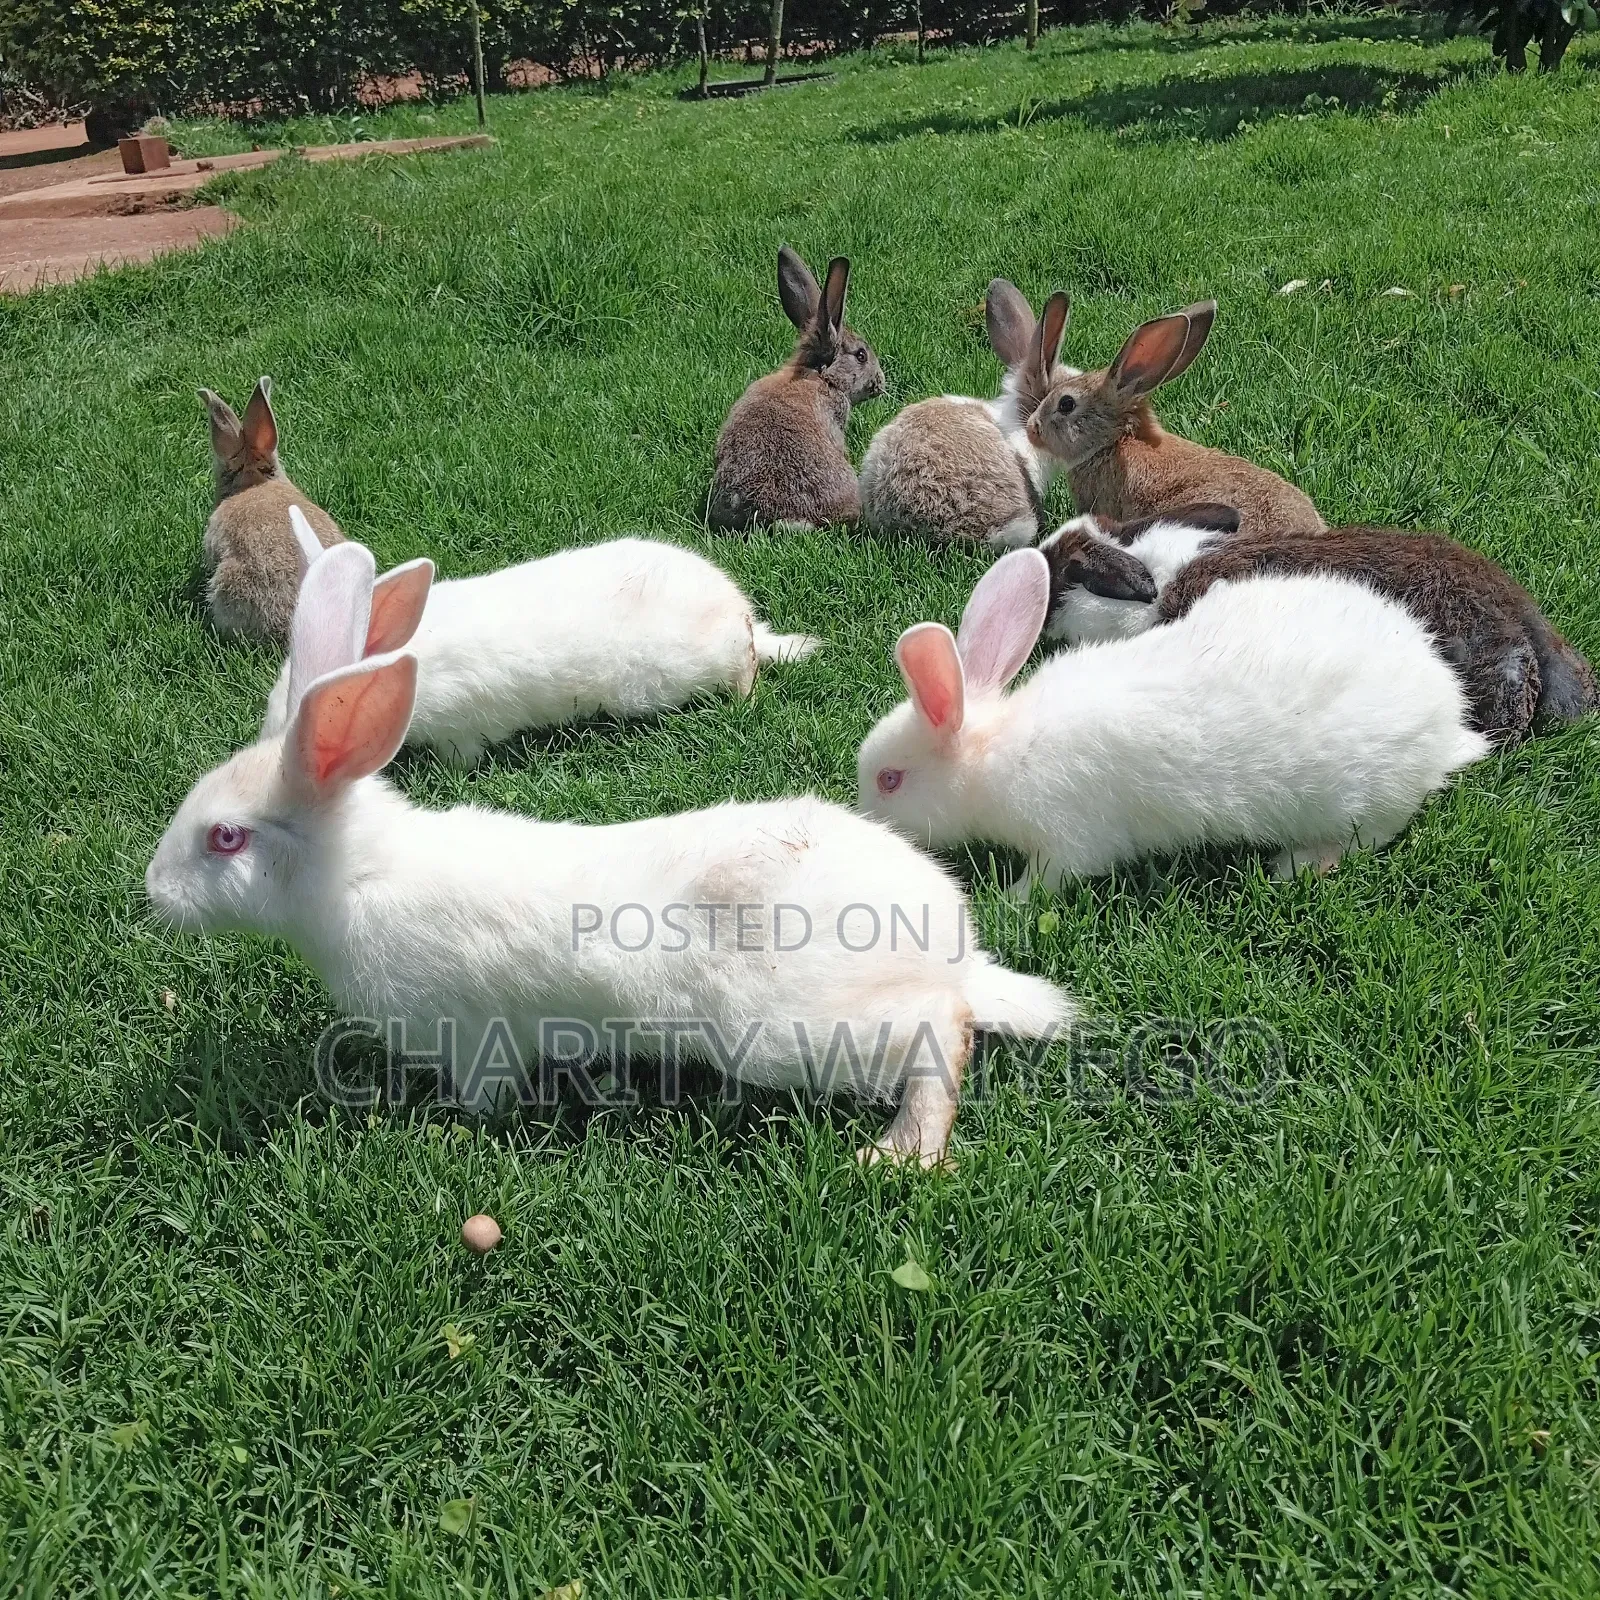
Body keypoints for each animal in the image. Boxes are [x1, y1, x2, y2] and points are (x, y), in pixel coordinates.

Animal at [147, 540, 1072, 1169]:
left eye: (225, 837)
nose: (154, 891)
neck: (356, 879)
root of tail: (954, 946)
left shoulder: (473, 1036)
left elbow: (484, 1089)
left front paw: (462, 1121)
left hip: (796, 1031)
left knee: (944, 1034)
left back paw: (899, 1152)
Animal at [857, 548, 1487, 887]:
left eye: (890, 780)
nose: (867, 824)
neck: (999, 751)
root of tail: (1445, 719)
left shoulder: (1068, 840)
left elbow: (1049, 879)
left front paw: (1010, 904)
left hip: (1362, 802)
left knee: (1371, 836)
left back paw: (1296, 864)